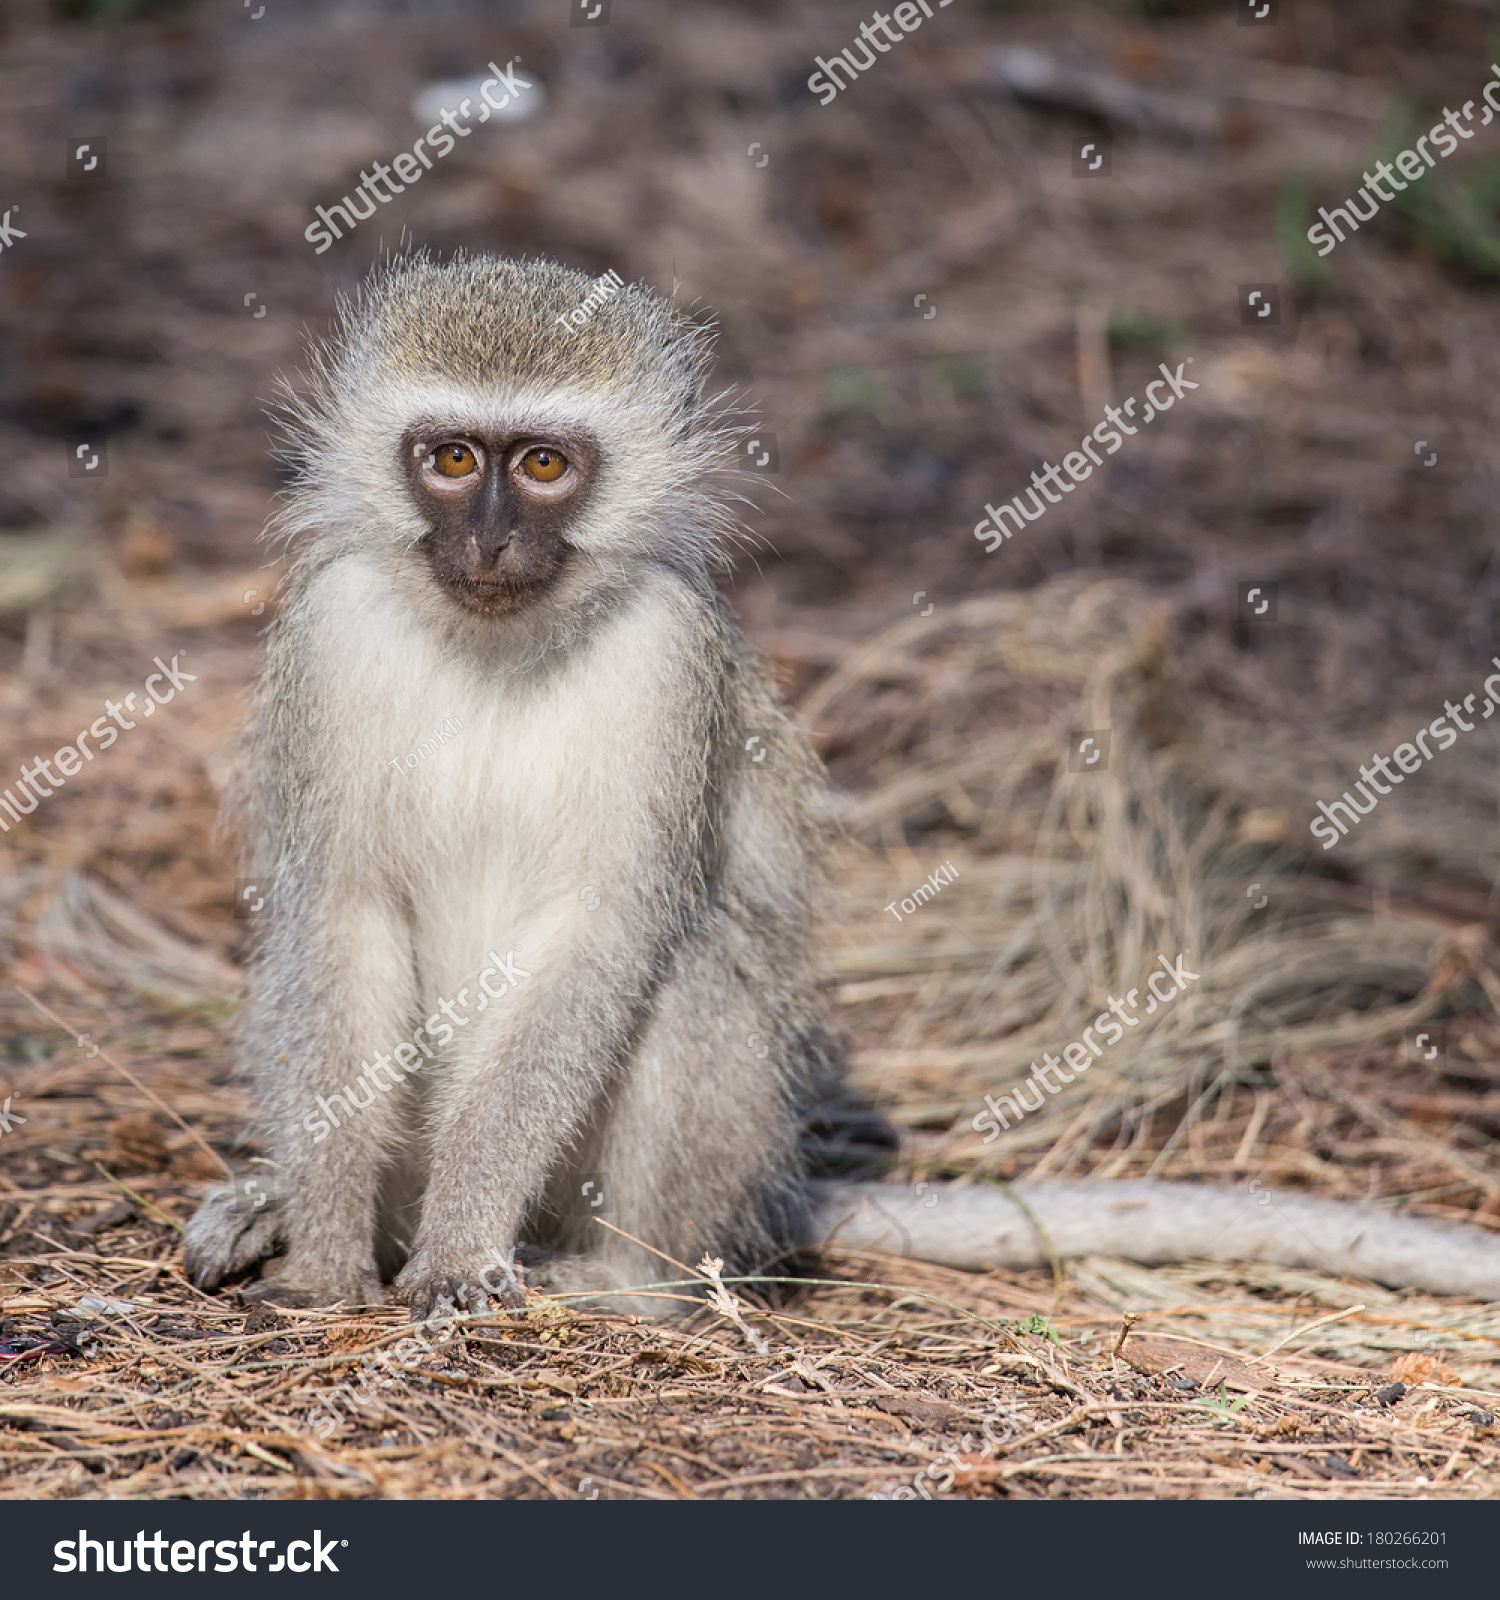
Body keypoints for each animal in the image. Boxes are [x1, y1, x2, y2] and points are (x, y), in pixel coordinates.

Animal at [183, 256, 1496, 1318]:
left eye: (544, 465)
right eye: (453, 459)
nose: (490, 541)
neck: (497, 638)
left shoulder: (667, 660)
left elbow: (605, 935)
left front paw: (456, 1250)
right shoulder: (332, 632)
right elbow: (339, 915)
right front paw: (332, 1259)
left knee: (692, 969)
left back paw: (627, 1283)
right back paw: (285, 1205)